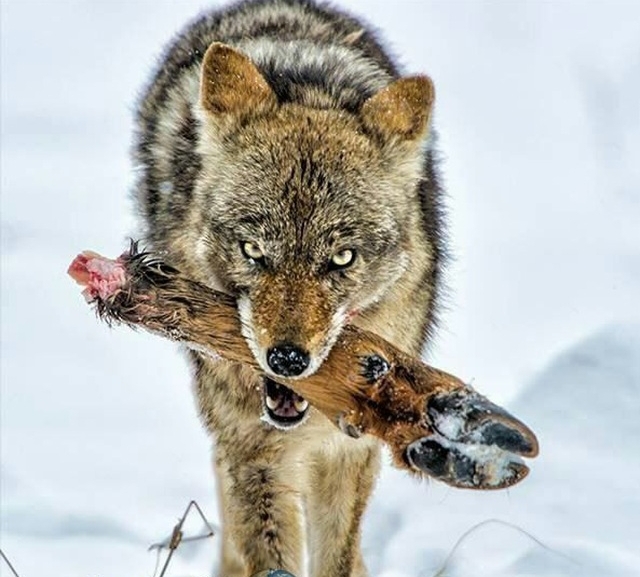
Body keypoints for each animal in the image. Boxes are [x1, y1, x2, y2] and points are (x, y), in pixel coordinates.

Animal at [133, 0, 446, 575]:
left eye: (342, 258)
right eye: (253, 251)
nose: (287, 360)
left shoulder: (348, 451)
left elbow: (337, 556)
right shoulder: (252, 452)